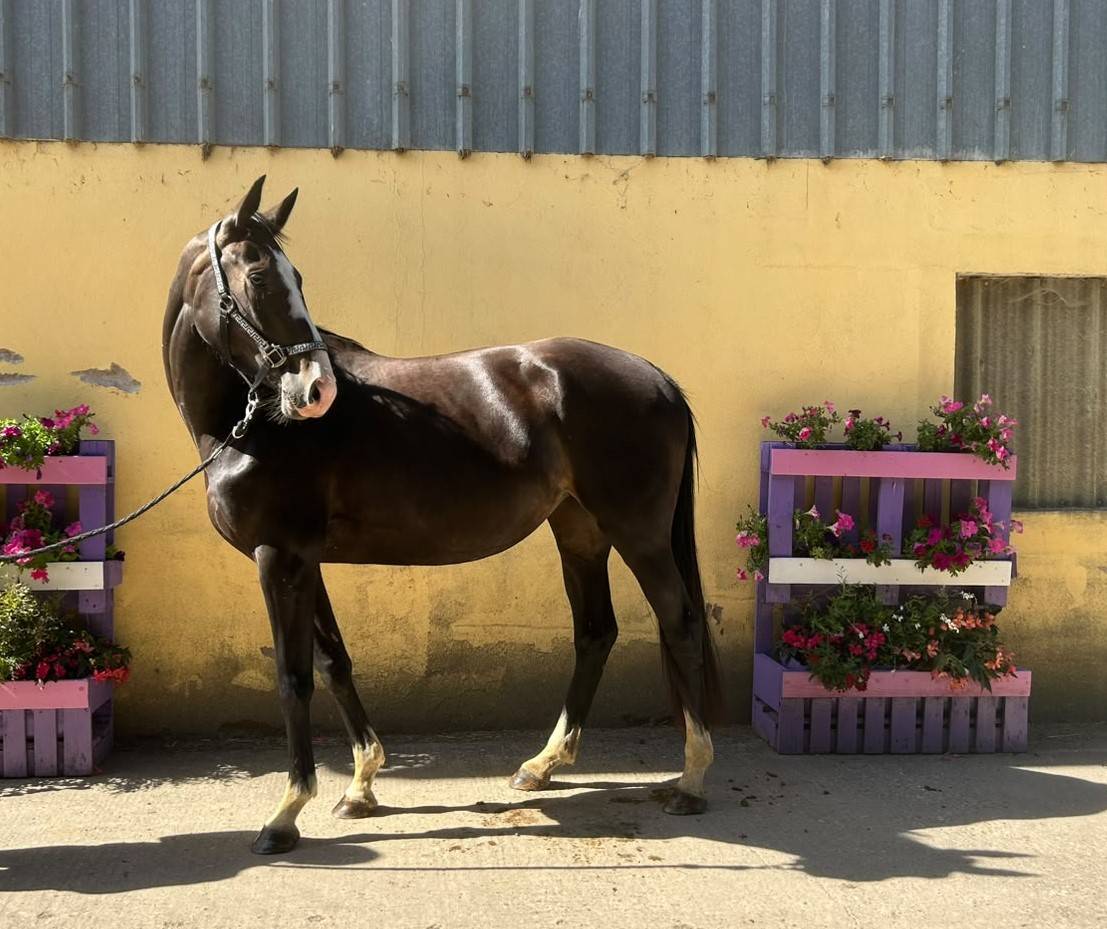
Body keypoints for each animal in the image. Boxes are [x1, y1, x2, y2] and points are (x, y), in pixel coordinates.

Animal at [162, 176, 722, 854]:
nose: (317, 391)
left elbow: (293, 678)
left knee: (679, 621)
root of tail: (660, 379)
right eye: (261, 277)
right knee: (596, 631)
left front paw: (285, 815)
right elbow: (332, 662)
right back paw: (540, 766)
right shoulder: (304, 561)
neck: (253, 426)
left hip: (638, 535)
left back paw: (691, 781)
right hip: (579, 531)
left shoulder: (279, 559)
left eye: (292, 277)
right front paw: (361, 787)